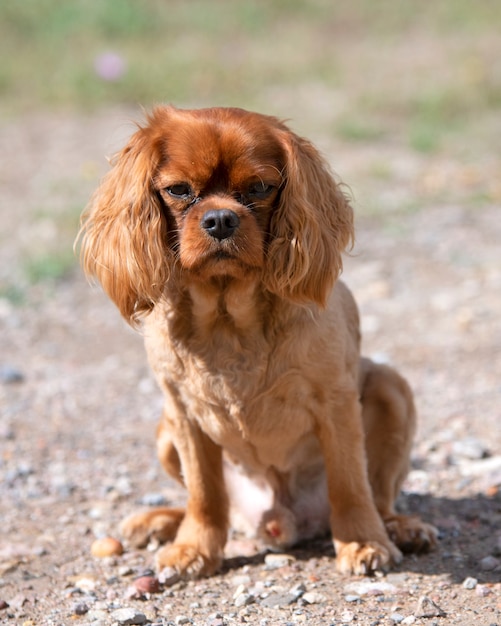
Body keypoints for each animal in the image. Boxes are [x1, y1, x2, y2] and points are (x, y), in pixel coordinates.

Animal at [77, 103, 434, 576]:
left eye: (260, 187)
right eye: (178, 190)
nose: (220, 219)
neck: (228, 318)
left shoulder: (336, 403)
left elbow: (350, 482)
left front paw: (362, 542)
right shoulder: (183, 414)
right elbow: (204, 494)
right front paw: (194, 548)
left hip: (391, 387)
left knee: (380, 495)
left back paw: (399, 528)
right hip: (164, 432)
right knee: (214, 505)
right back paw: (160, 522)